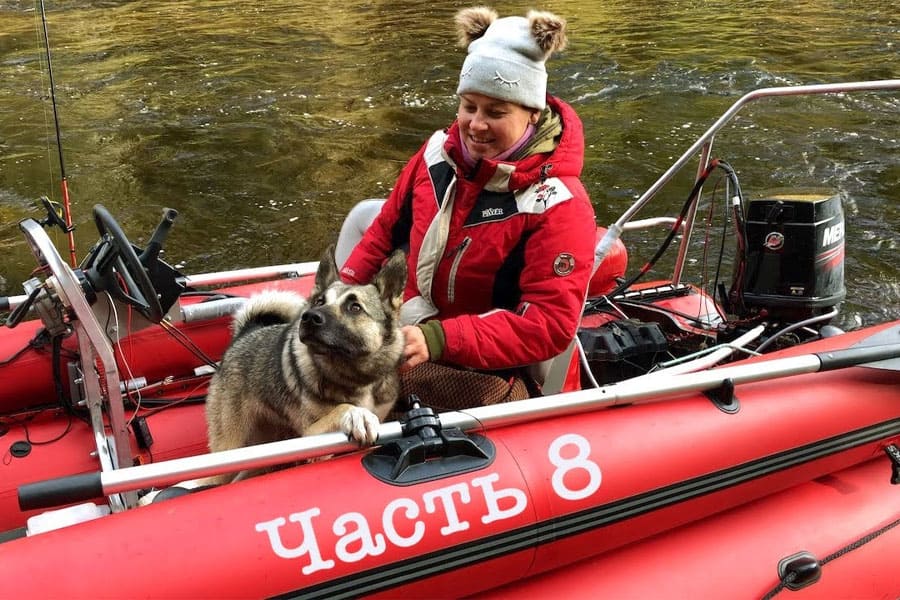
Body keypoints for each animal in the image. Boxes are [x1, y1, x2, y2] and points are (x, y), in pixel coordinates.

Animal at [140, 244, 404, 502]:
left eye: (355, 307)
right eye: (319, 301)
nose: (309, 317)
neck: (353, 373)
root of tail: (245, 333)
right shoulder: (309, 436)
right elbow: (342, 408)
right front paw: (357, 415)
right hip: (230, 445)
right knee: (211, 478)